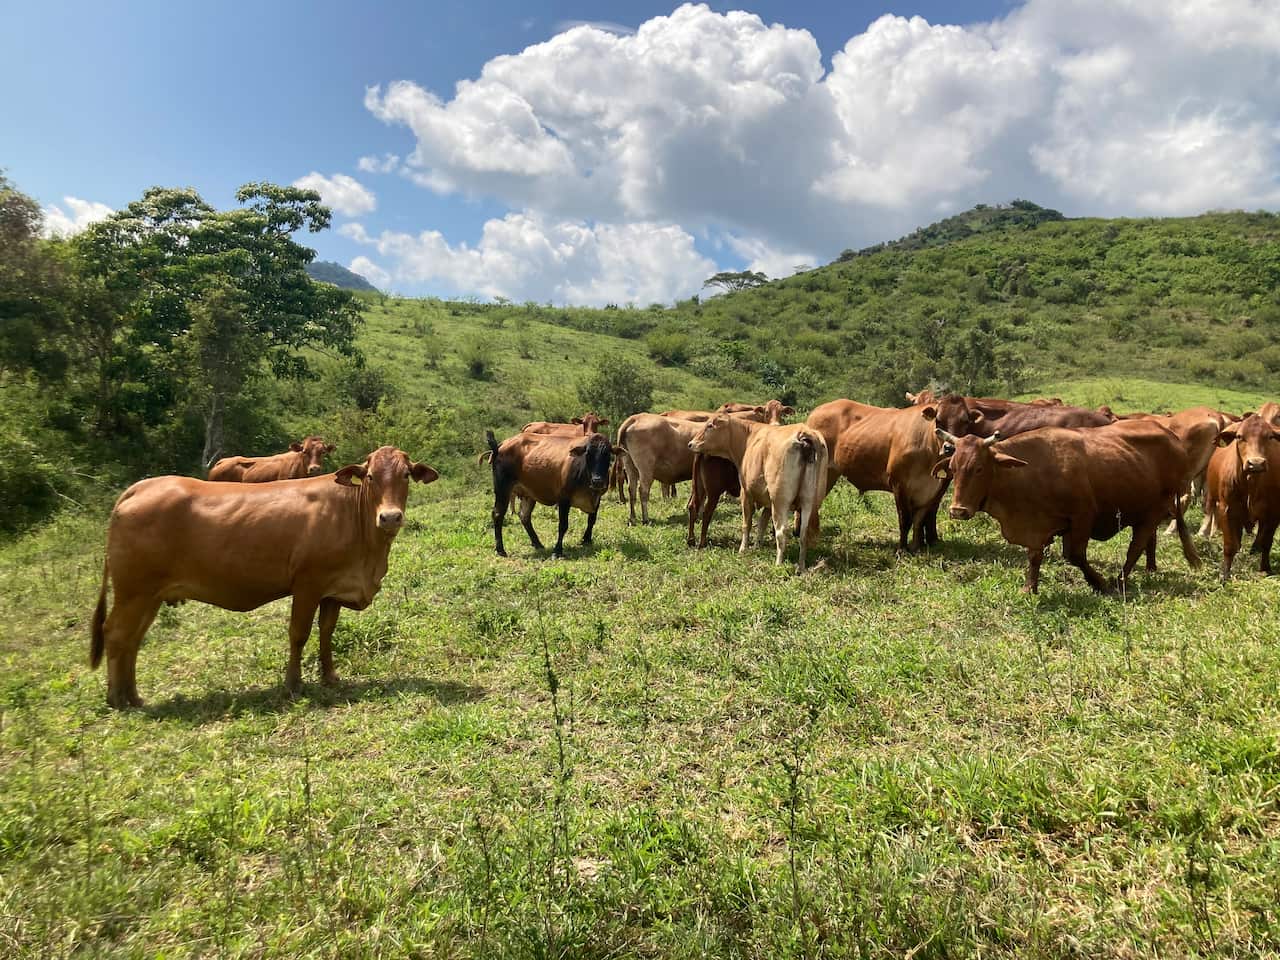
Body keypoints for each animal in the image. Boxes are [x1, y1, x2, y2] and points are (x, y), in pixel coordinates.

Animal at [90, 446, 438, 709]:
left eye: (405, 475)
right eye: (370, 476)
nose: (390, 517)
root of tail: (142, 486)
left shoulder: (334, 590)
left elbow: (326, 632)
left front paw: (330, 677)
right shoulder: (308, 585)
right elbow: (299, 634)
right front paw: (293, 684)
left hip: (149, 596)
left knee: (133, 639)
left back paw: (133, 696)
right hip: (133, 592)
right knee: (116, 634)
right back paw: (116, 698)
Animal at [486, 429, 615, 557]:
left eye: (607, 454)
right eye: (588, 454)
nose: (597, 480)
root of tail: (502, 444)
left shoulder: (597, 498)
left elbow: (591, 520)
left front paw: (586, 540)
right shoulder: (563, 499)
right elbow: (563, 525)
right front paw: (557, 550)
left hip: (528, 493)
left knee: (524, 516)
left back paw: (537, 544)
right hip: (502, 488)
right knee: (497, 514)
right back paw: (500, 549)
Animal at [687, 414, 828, 573]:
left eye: (710, 425)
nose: (691, 444)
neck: (748, 437)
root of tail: (803, 435)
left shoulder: (746, 493)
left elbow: (747, 523)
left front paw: (743, 549)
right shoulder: (768, 502)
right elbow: (762, 523)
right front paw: (756, 546)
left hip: (779, 501)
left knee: (781, 532)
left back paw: (778, 564)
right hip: (809, 501)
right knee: (804, 534)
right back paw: (801, 567)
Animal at [933, 422, 1199, 593]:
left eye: (979, 468)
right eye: (953, 468)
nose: (958, 511)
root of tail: (1171, 436)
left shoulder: (1082, 517)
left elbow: (1075, 555)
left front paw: (1098, 583)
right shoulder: (1036, 526)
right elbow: (1034, 556)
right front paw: (1030, 588)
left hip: (1154, 510)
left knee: (1135, 547)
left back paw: (1120, 581)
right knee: (1146, 541)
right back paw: (1148, 570)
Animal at [1206, 414, 1280, 581]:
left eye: (1270, 436)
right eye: (1239, 436)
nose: (1256, 463)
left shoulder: (1273, 513)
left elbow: (1266, 542)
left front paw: (1265, 568)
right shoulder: (1226, 509)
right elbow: (1229, 544)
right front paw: (1225, 574)